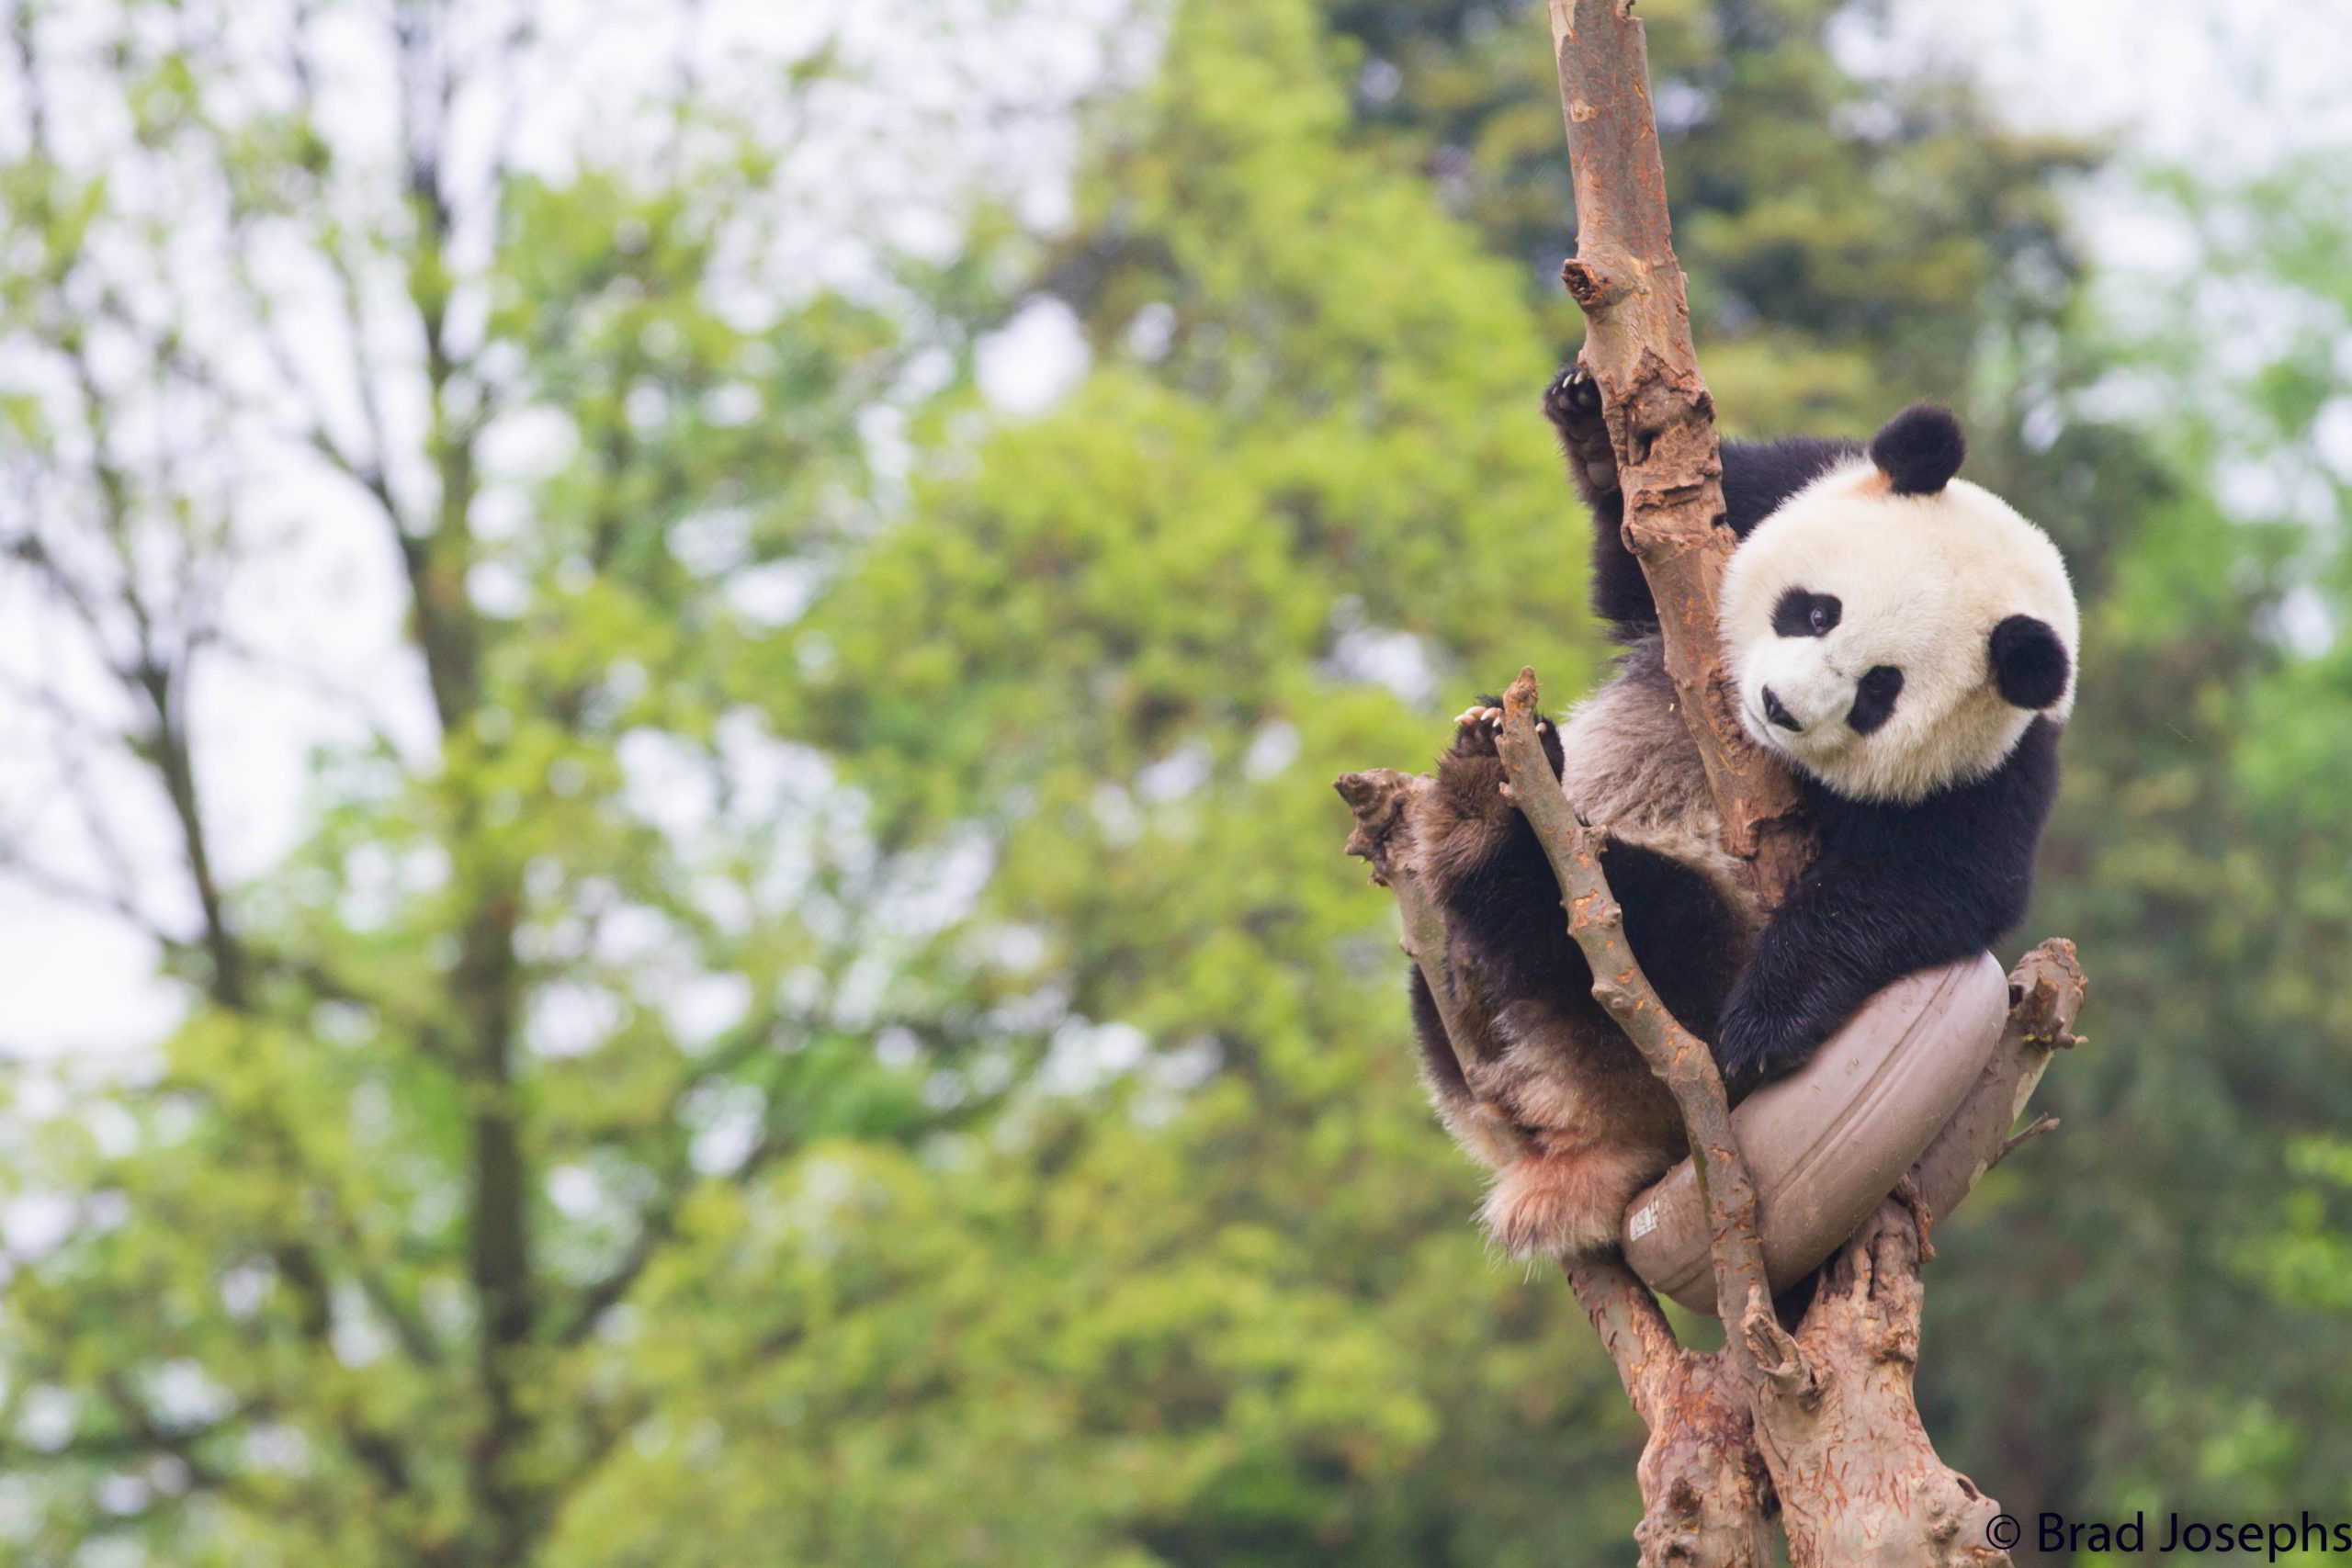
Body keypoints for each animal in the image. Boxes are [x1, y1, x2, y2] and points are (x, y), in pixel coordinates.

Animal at [1392, 371, 2079, 1259]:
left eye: (1880, 689)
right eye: (1816, 611)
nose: (1779, 705)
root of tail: (1585, 1136)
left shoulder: (1995, 770)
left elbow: (1934, 883)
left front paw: (1763, 1027)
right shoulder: (1773, 494)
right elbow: (1634, 569)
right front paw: (1592, 423)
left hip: (1666, 998)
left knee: (1632, 916)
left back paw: (1496, 828)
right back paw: (1489, 779)